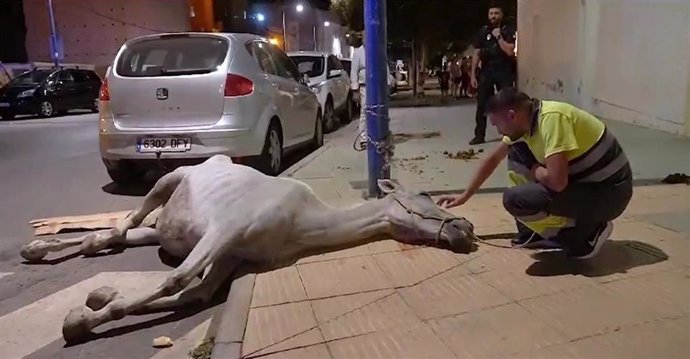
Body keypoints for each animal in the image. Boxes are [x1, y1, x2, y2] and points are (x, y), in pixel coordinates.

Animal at [18, 155, 476, 344]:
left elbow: (195, 295)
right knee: (128, 220)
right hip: (169, 179)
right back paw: (40, 249)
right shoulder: (224, 231)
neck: (300, 221)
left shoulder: (233, 255)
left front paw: (98, 298)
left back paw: (41, 249)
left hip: (163, 230)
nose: (466, 230)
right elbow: (175, 280)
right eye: (424, 195)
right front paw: (80, 321)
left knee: (114, 235)